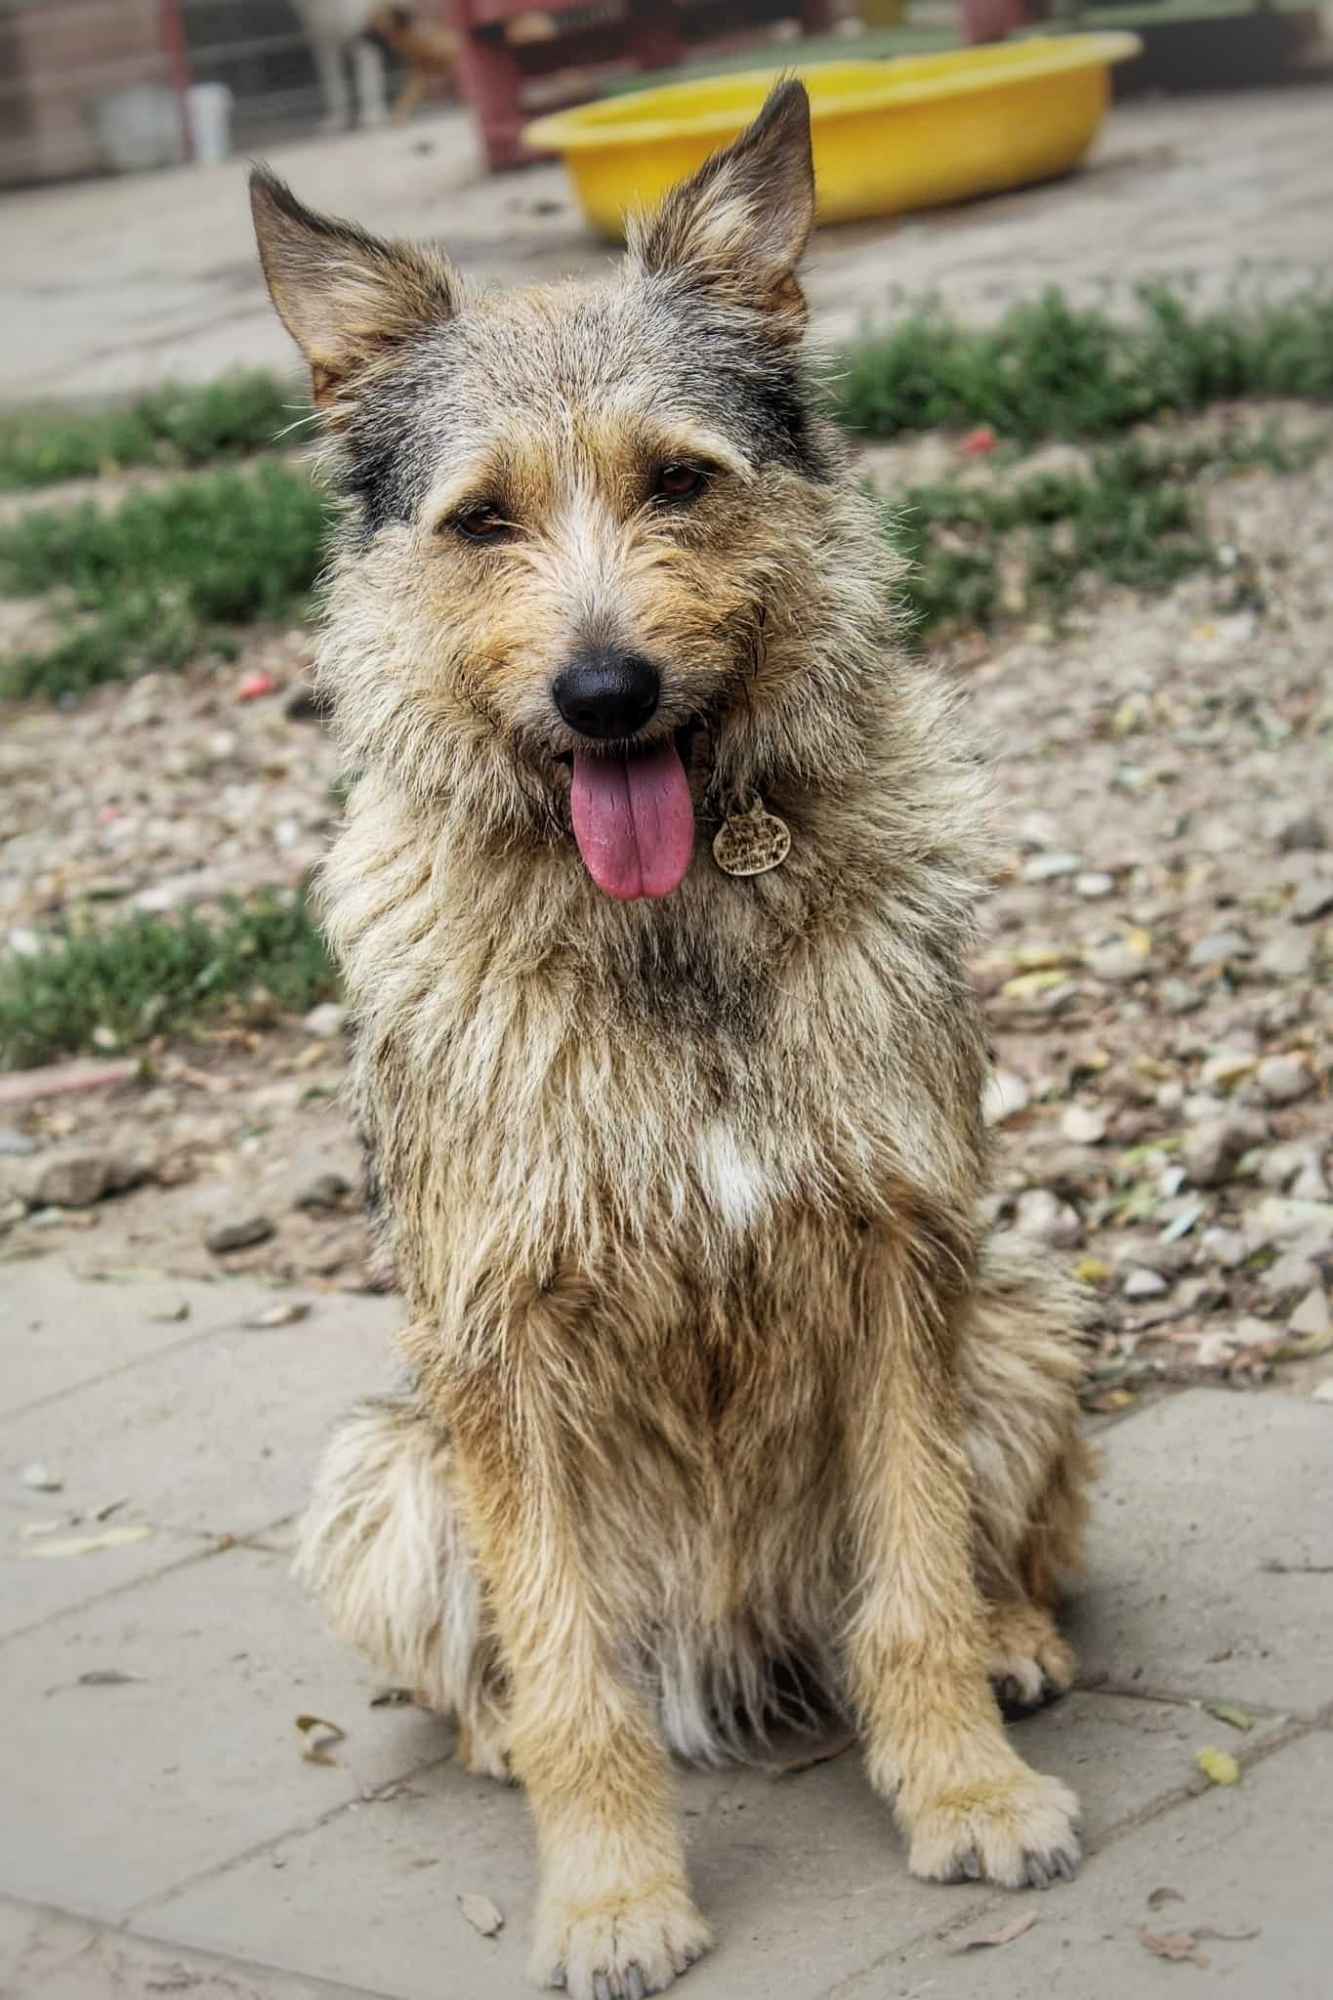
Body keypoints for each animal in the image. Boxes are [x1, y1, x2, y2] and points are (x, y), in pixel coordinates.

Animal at [249, 86, 1088, 2000]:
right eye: (480, 521)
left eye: (680, 480)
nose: (605, 693)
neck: (664, 920)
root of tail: (733, 1635)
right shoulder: (497, 1335)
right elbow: (573, 1681)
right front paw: (614, 1897)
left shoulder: (900, 1262)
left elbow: (914, 1583)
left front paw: (963, 1793)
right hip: (381, 1481)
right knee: (504, 1664)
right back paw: (495, 1731)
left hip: (1022, 1331)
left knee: (969, 1567)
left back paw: (1013, 1644)